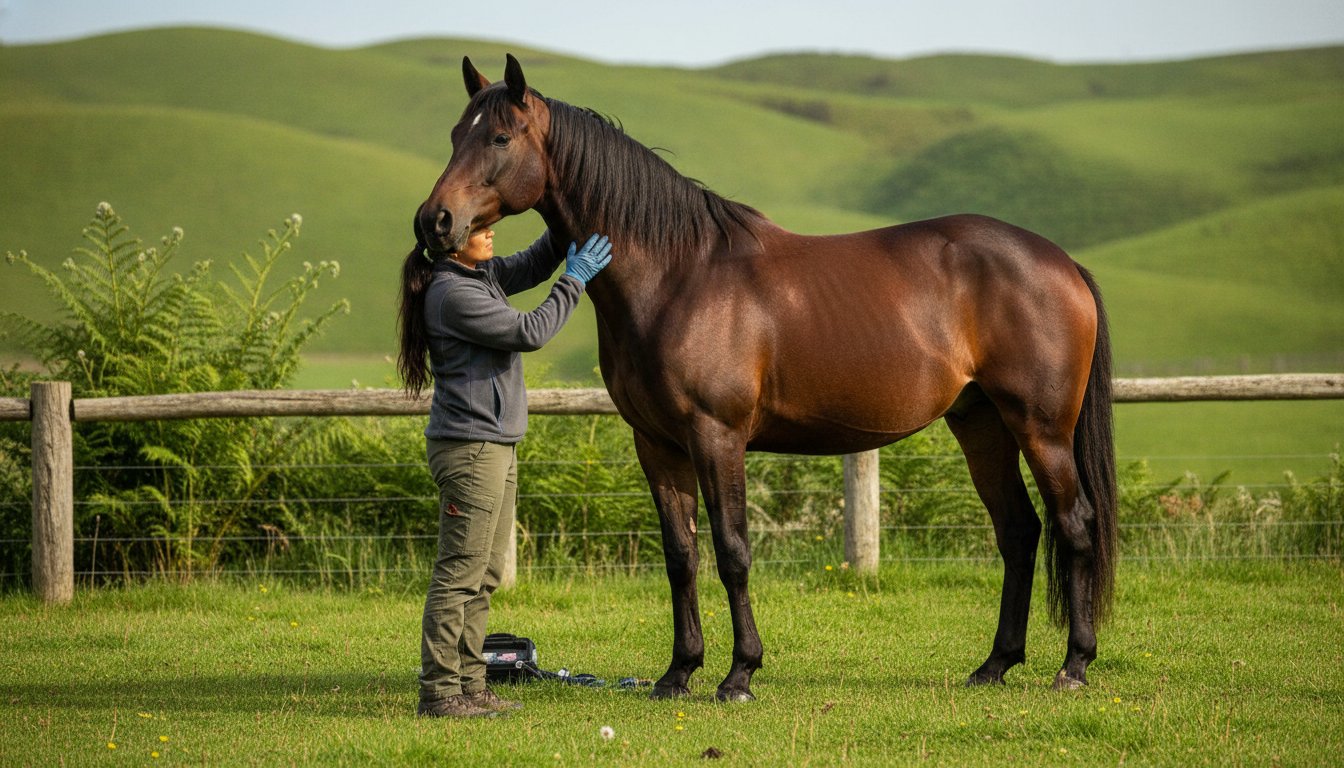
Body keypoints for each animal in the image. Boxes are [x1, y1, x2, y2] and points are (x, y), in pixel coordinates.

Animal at [411, 54, 1117, 702]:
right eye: (453, 134)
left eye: (500, 138)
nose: (434, 222)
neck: (678, 274)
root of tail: (1063, 264)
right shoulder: (657, 444)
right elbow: (682, 555)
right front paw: (678, 673)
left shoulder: (716, 436)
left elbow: (732, 550)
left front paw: (739, 674)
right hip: (981, 423)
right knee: (1020, 531)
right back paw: (995, 664)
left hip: (1041, 427)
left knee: (1075, 523)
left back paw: (1074, 665)